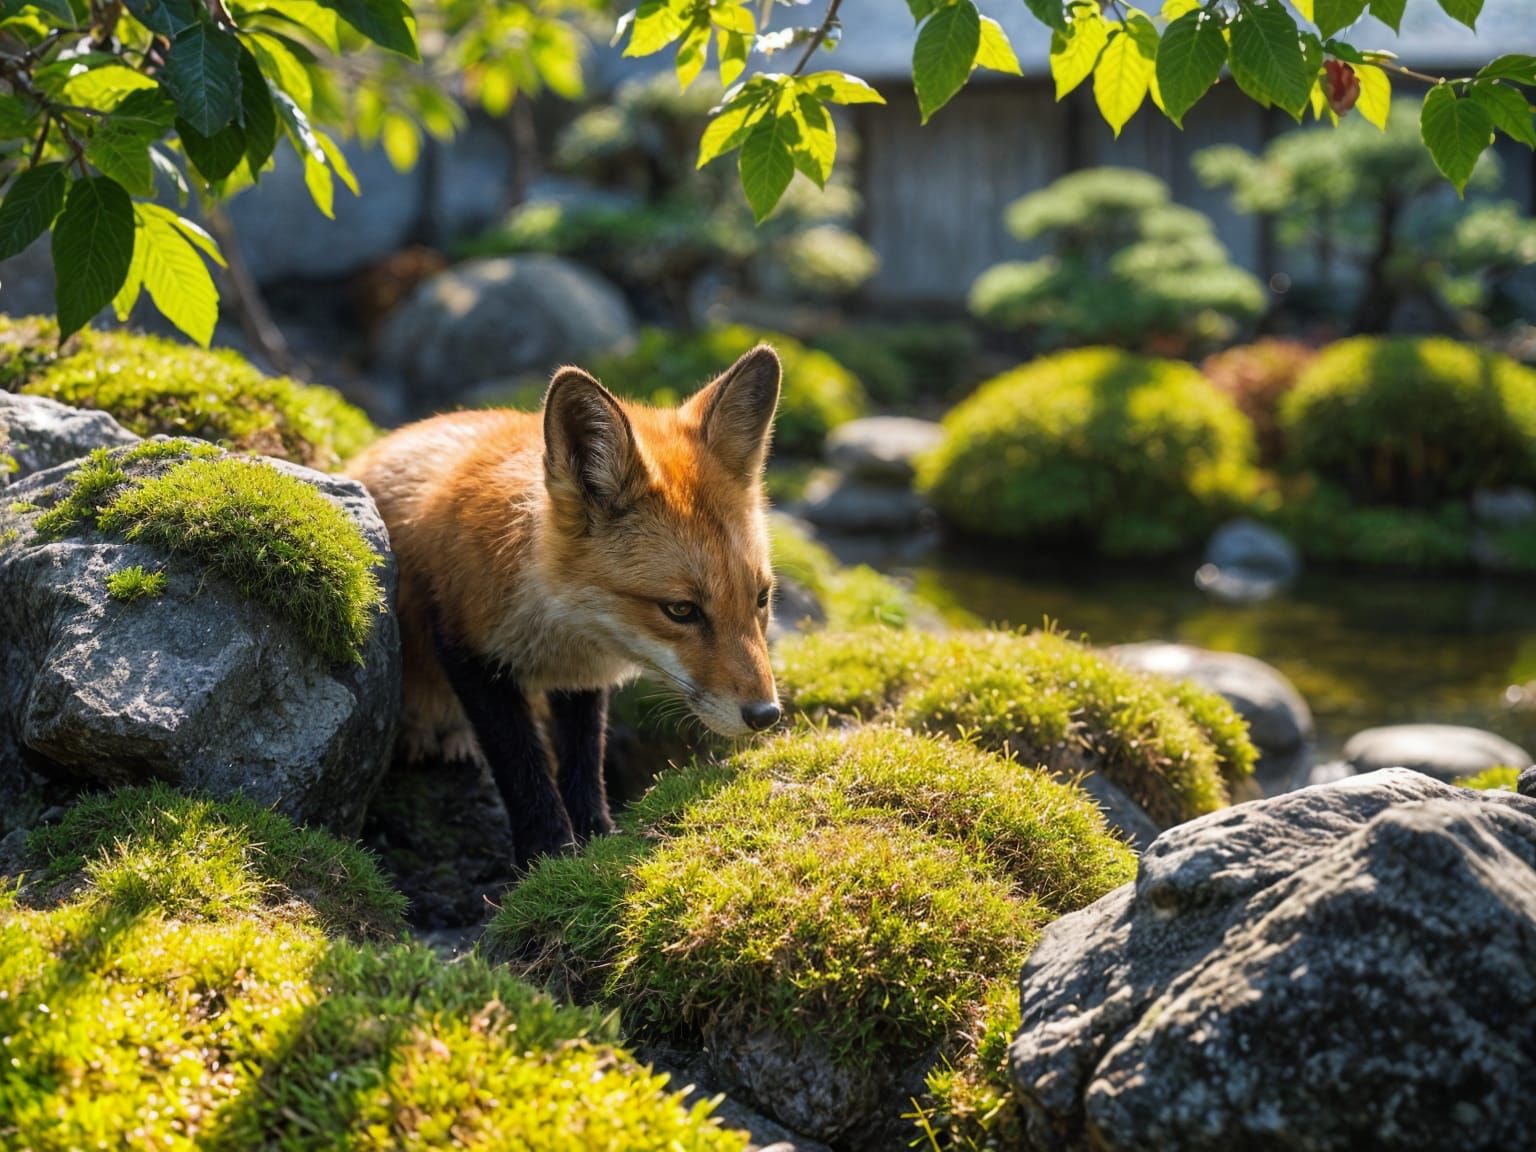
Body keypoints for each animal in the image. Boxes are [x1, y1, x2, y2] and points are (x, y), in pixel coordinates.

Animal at [346, 345, 783, 868]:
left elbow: (582, 762)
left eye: (761, 598)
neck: (560, 620)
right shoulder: (465, 644)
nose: (766, 715)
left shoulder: (579, 678)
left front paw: (596, 838)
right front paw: (548, 853)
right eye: (681, 610)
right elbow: (521, 763)